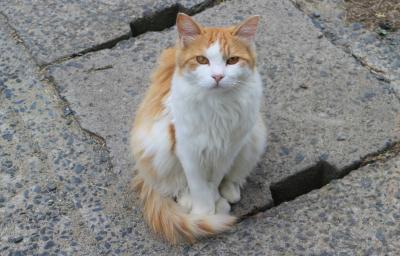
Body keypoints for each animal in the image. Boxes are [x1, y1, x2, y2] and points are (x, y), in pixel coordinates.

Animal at [131, 12, 268, 244]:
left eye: (232, 60)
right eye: (202, 60)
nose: (218, 77)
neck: (217, 106)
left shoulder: (227, 150)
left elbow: (214, 180)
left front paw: (214, 202)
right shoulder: (187, 149)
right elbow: (197, 184)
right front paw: (203, 213)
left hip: (254, 136)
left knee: (235, 176)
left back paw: (228, 194)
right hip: (157, 144)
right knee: (173, 184)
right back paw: (187, 200)